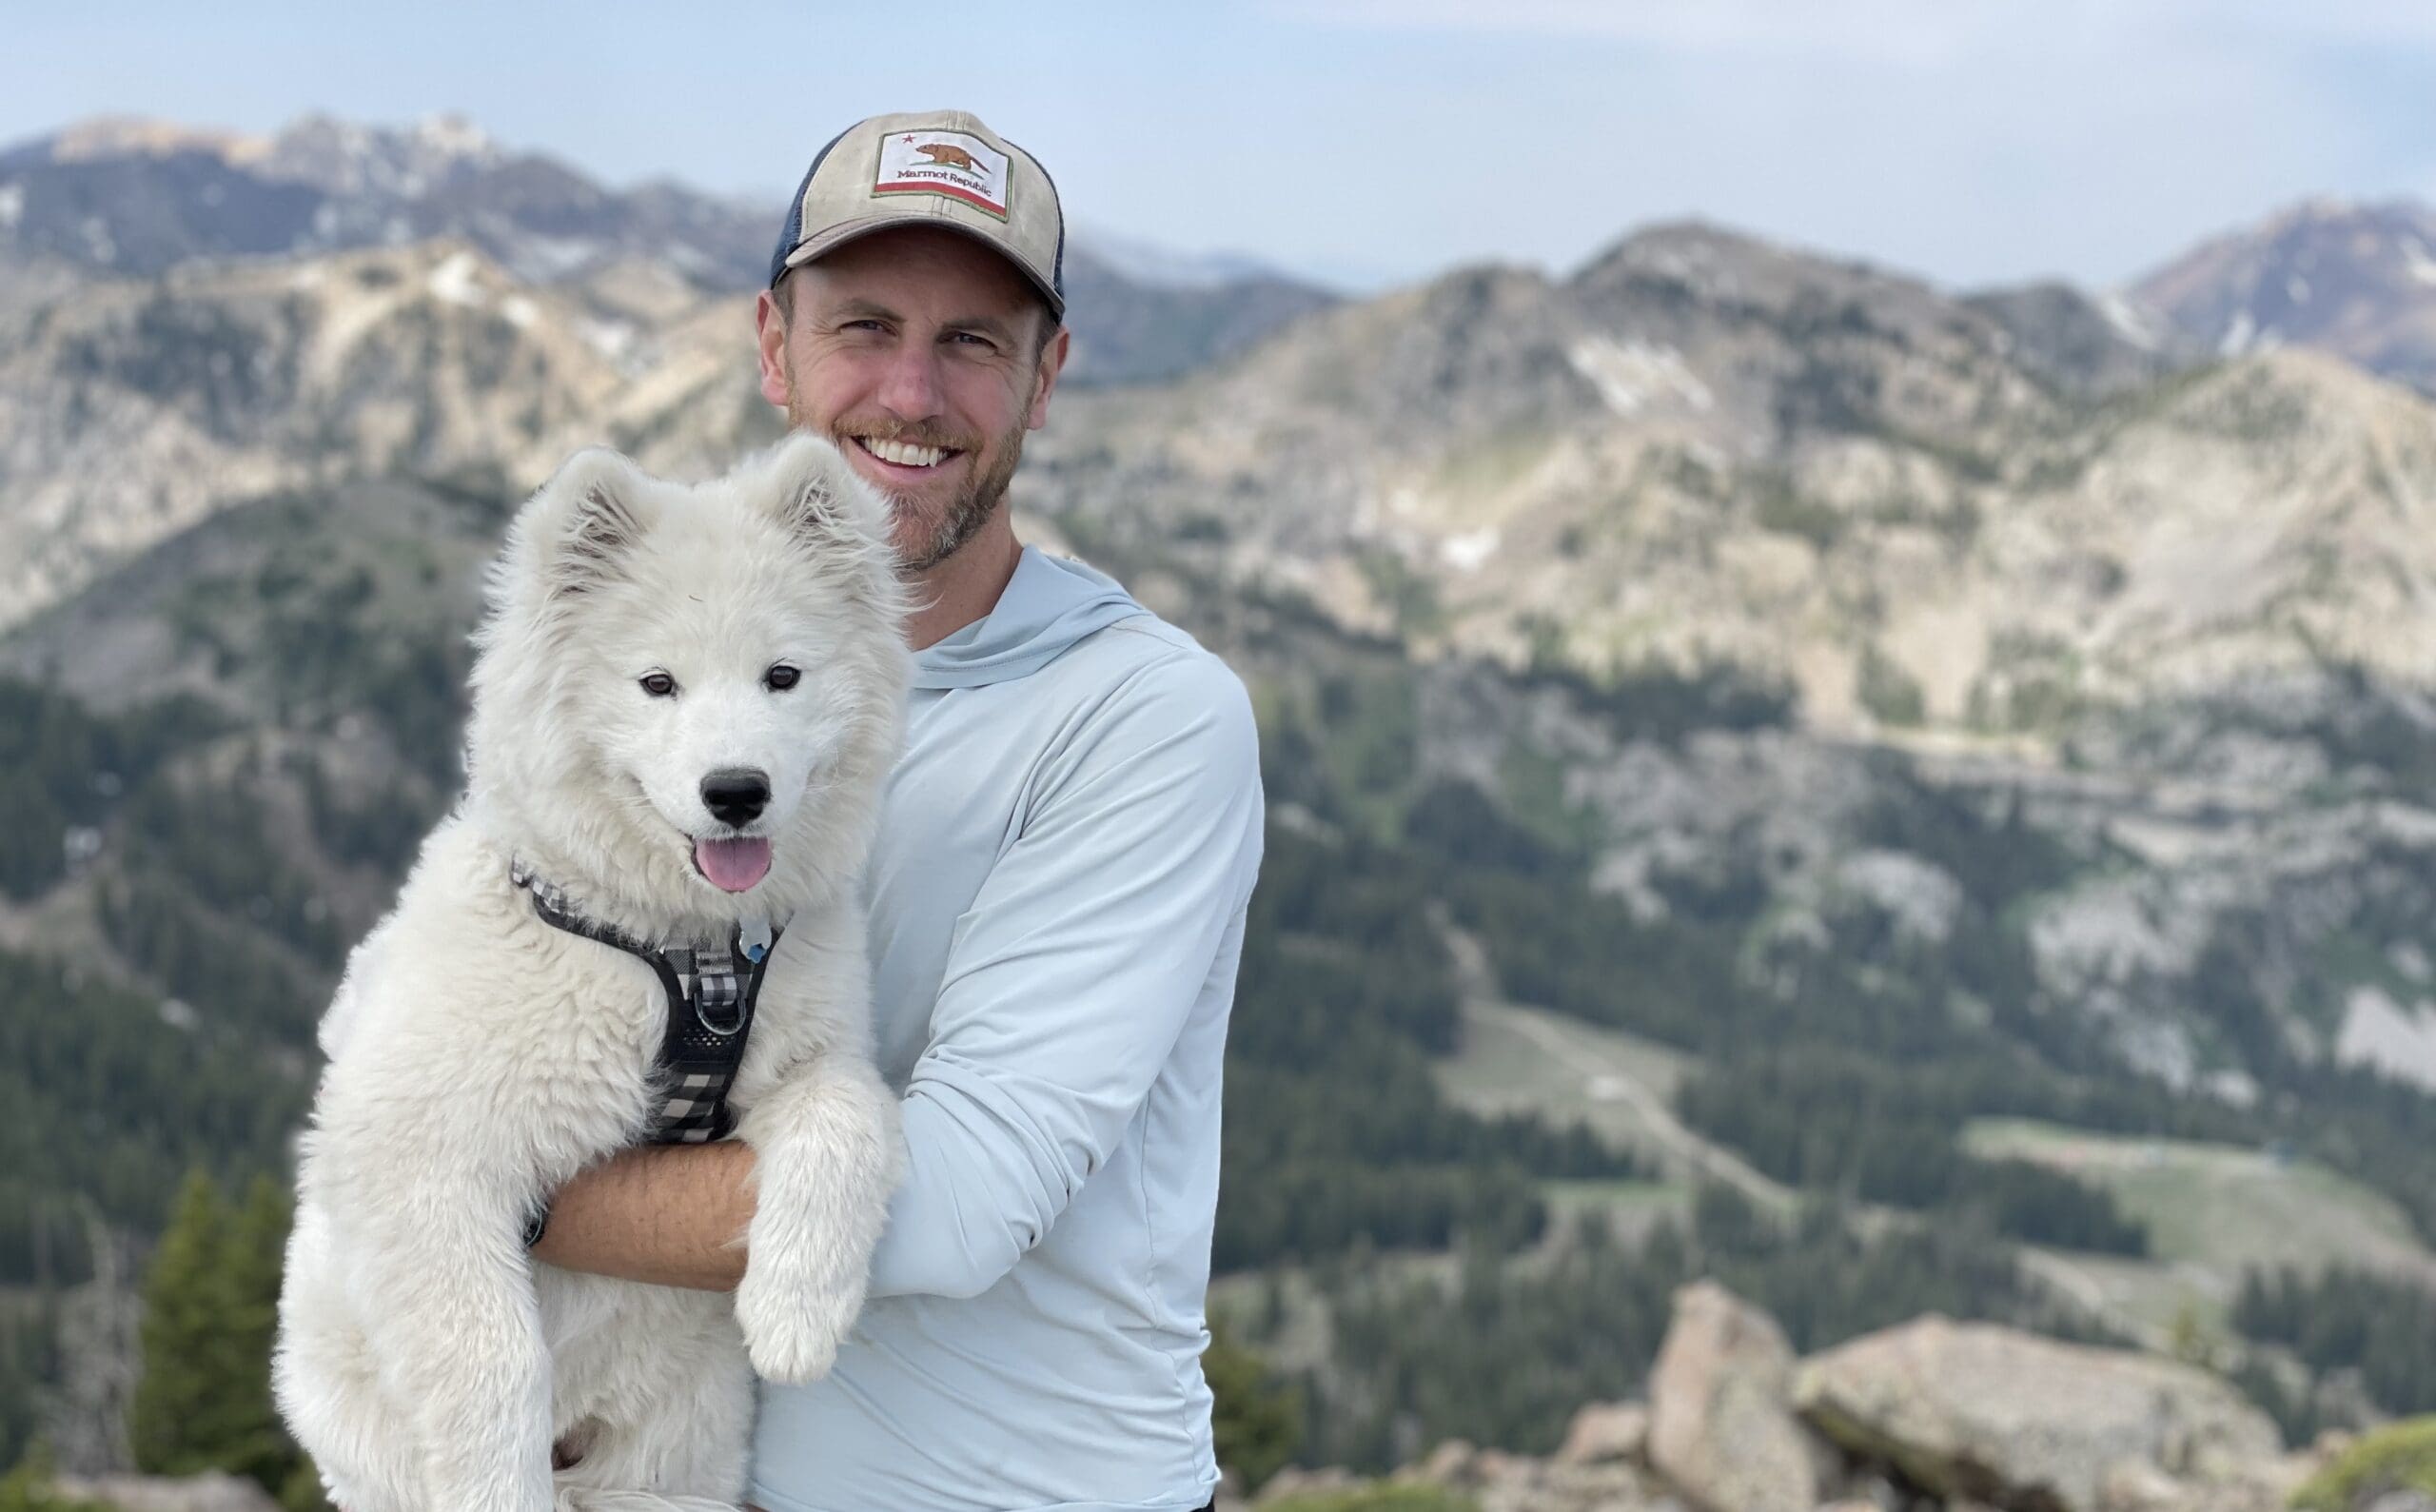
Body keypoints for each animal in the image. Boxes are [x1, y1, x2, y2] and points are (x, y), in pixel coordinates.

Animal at [268, 433, 915, 1509]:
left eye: (783, 674)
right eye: (657, 683)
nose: (736, 791)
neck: (681, 957)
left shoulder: (810, 1056)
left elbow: (849, 1117)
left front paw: (796, 1315)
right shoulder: (415, 1154)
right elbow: (491, 1357)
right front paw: (499, 1484)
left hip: (680, 1460)